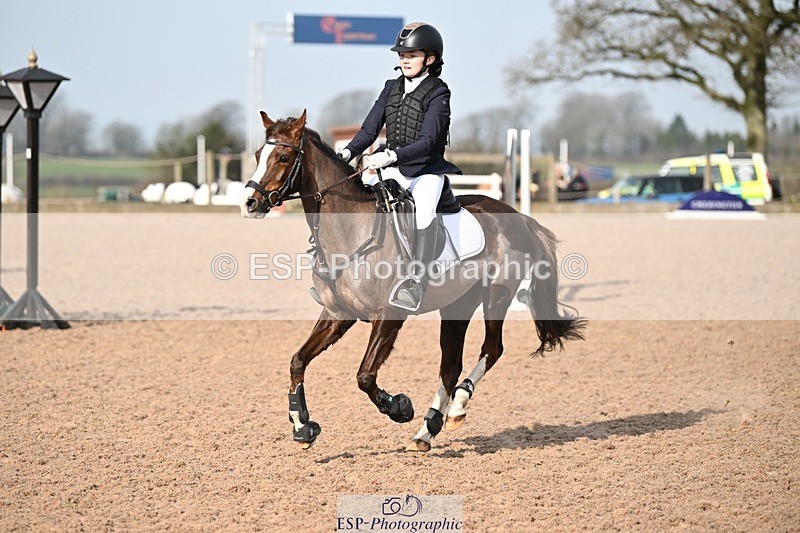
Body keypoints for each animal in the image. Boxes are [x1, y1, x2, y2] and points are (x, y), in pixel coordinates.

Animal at [240, 110, 585, 452]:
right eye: (258, 155)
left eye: (283, 157)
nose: (249, 203)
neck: (350, 231)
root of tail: (519, 216)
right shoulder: (339, 314)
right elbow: (298, 361)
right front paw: (302, 425)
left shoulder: (390, 314)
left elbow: (365, 375)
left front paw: (399, 407)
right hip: (459, 304)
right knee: (450, 364)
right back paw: (427, 430)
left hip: (497, 295)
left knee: (492, 349)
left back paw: (457, 407)